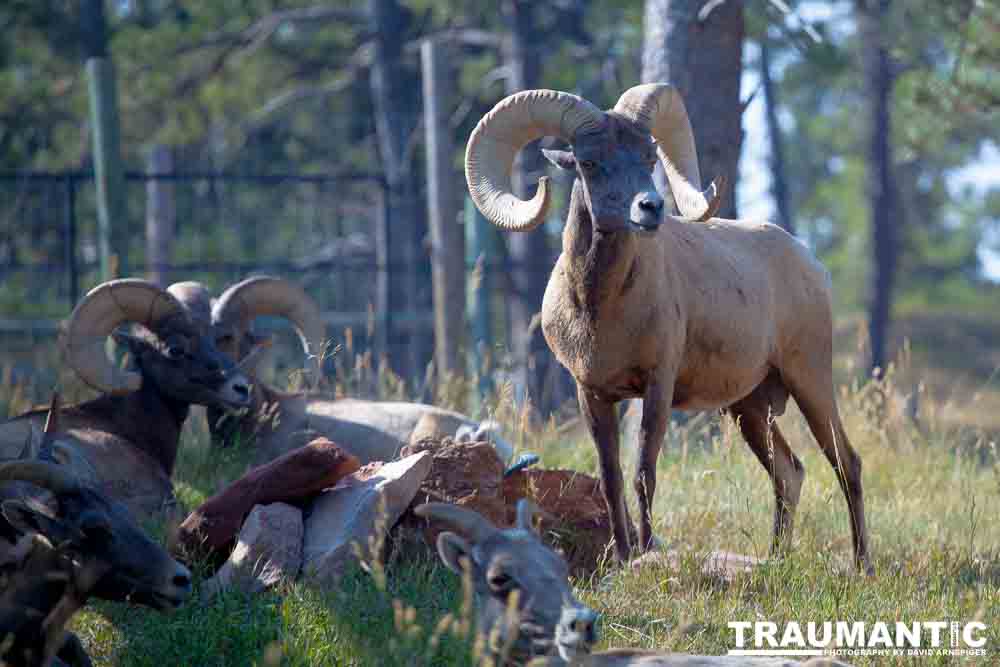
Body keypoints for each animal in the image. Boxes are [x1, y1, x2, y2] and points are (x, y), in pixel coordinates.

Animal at [464, 85, 872, 576]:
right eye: (589, 162)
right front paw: (621, 558)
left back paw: (863, 566)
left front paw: (647, 552)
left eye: (648, 155)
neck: (602, 312)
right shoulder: (592, 394)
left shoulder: (657, 386)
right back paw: (776, 561)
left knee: (846, 463)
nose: (650, 207)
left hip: (809, 381)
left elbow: (644, 472)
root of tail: (810, 263)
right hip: (750, 408)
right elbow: (611, 479)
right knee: (789, 473)